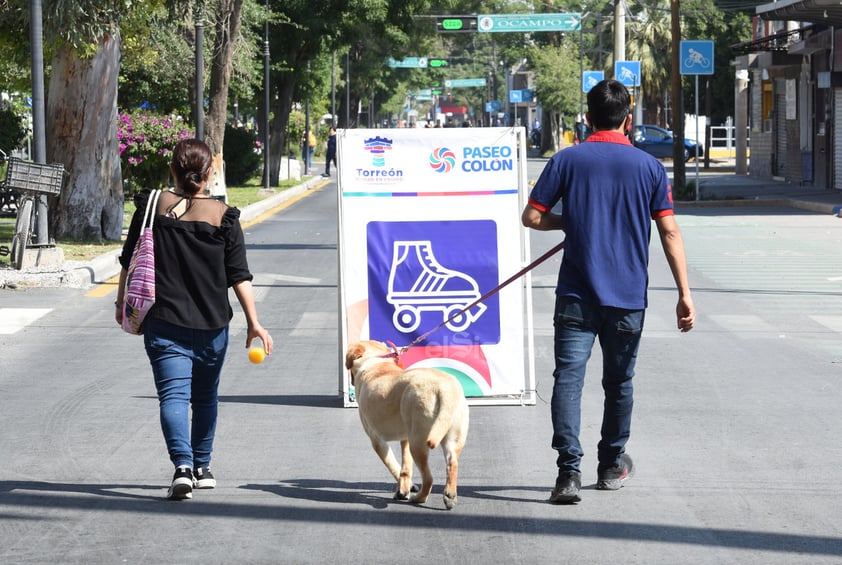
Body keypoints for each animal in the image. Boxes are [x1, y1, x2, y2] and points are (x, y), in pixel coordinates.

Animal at [344, 340, 470, 512]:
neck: (376, 362)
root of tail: (444, 388)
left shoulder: (377, 440)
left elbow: (393, 465)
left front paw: (405, 491)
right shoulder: (405, 438)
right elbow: (405, 467)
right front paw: (404, 488)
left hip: (418, 443)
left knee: (429, 478)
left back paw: (419, 498)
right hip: (450, 441)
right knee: (452, 464)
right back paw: (449, 496)